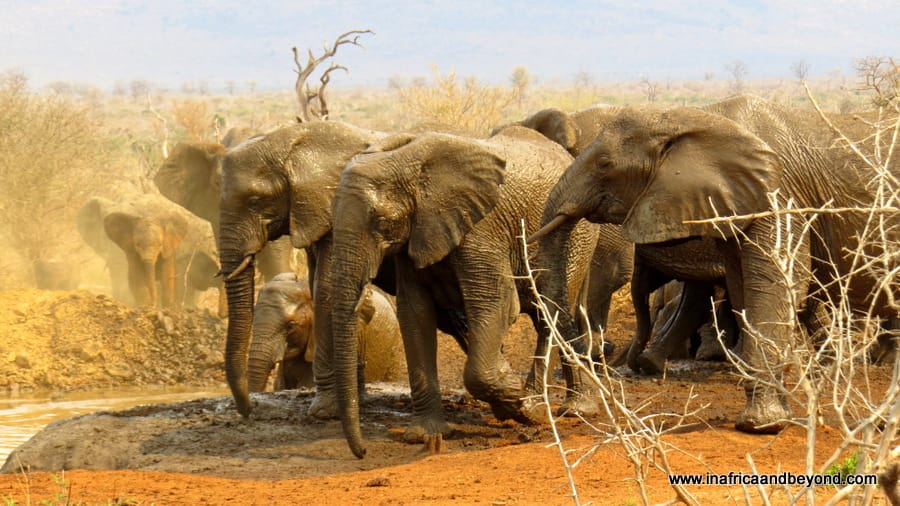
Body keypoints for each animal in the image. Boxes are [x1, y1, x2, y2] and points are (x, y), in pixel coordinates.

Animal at [327, 126, 627, 458]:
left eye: (382, 222)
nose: (362, 452)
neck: (411, 161)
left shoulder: (481, 230)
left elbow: (494, 303)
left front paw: (513, 396)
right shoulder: (416, 237)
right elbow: (415, 315)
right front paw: (424, 435)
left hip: (578, 234)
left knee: (549, 311)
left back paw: (547, 409)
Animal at [530, 94, 899, 434]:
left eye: (605, 164)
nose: (572, 411)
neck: (697, 117)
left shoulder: (777, 194)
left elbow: (776, 283)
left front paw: (761, 424)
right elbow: (742, 288)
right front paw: (776, 415)